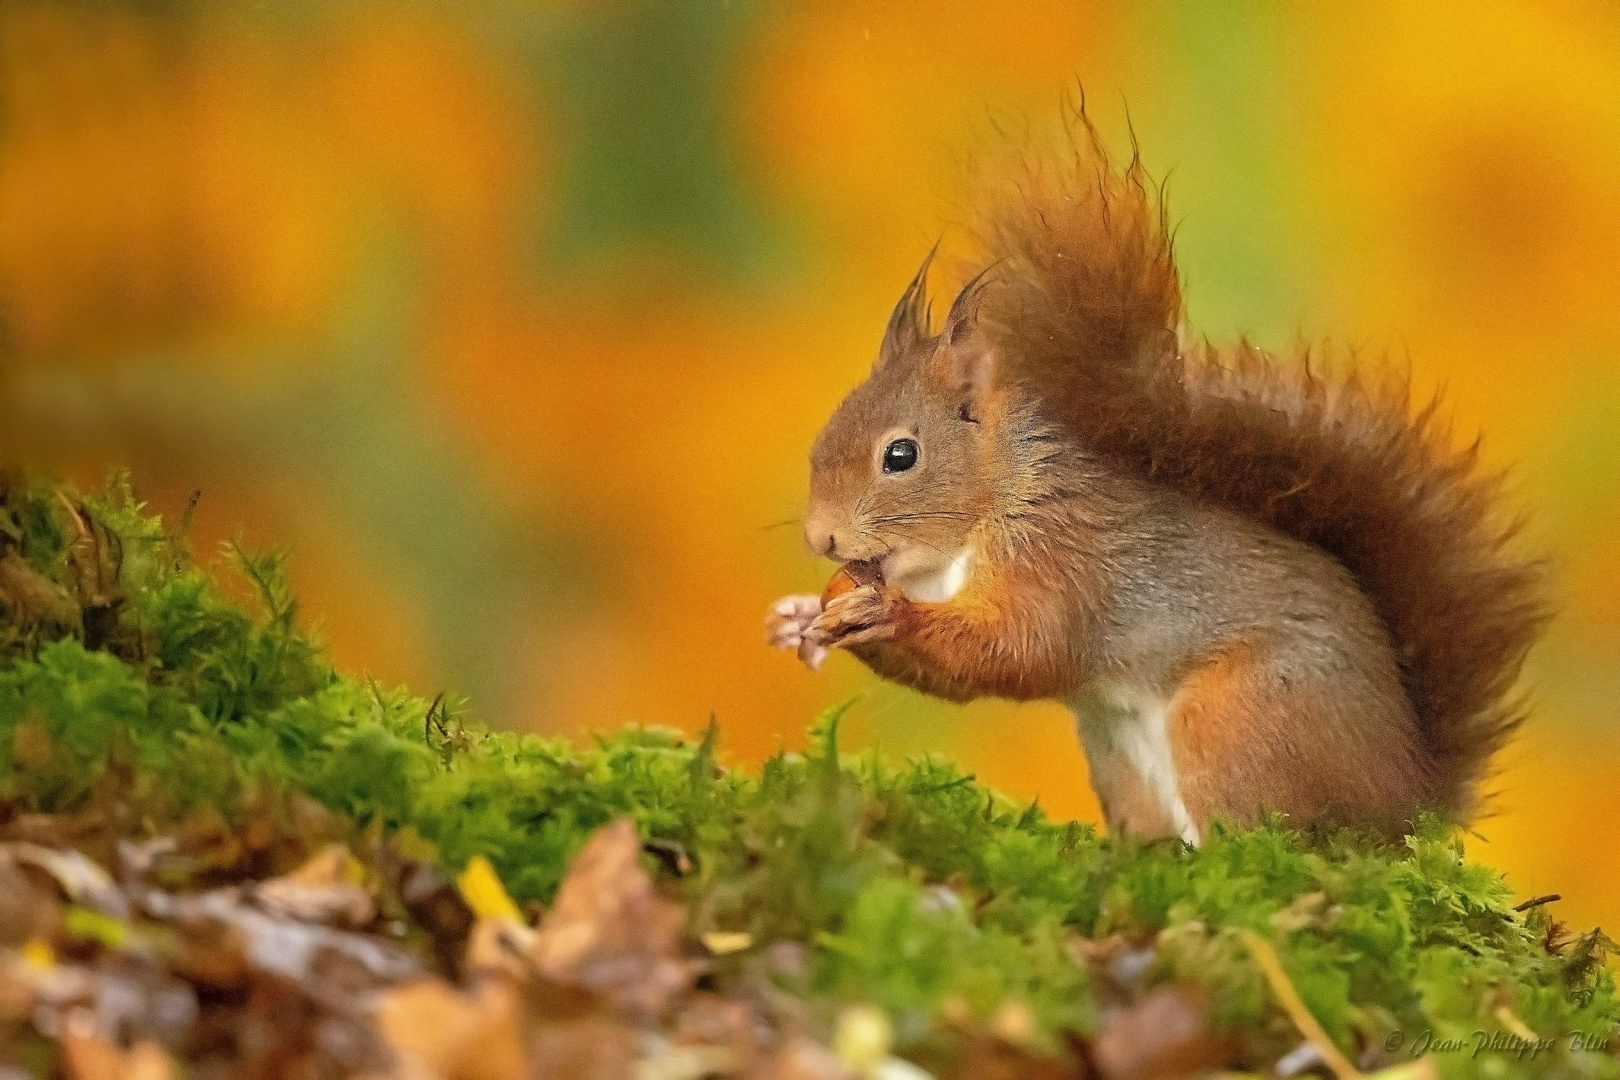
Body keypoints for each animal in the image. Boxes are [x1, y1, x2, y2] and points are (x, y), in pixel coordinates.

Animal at [764, 114, 1548, 841]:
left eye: (901, 456)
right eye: (822, 438)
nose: (821, 538)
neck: (994, 499)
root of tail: (1406, 800)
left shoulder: (1064, 558)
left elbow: (1018, 649)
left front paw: (885, 613)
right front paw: (805, 616)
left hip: (1236, 723)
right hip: (1123, 758)